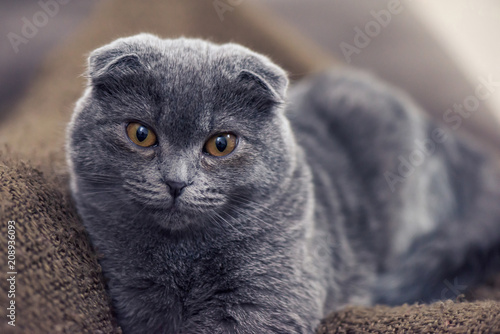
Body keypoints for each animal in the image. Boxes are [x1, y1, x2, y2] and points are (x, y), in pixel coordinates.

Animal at [66, 34, 500, 334]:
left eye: (221, 144)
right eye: (141, 134)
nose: (176, 181)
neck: (180, 258)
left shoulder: (269, 301)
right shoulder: (129, 291)